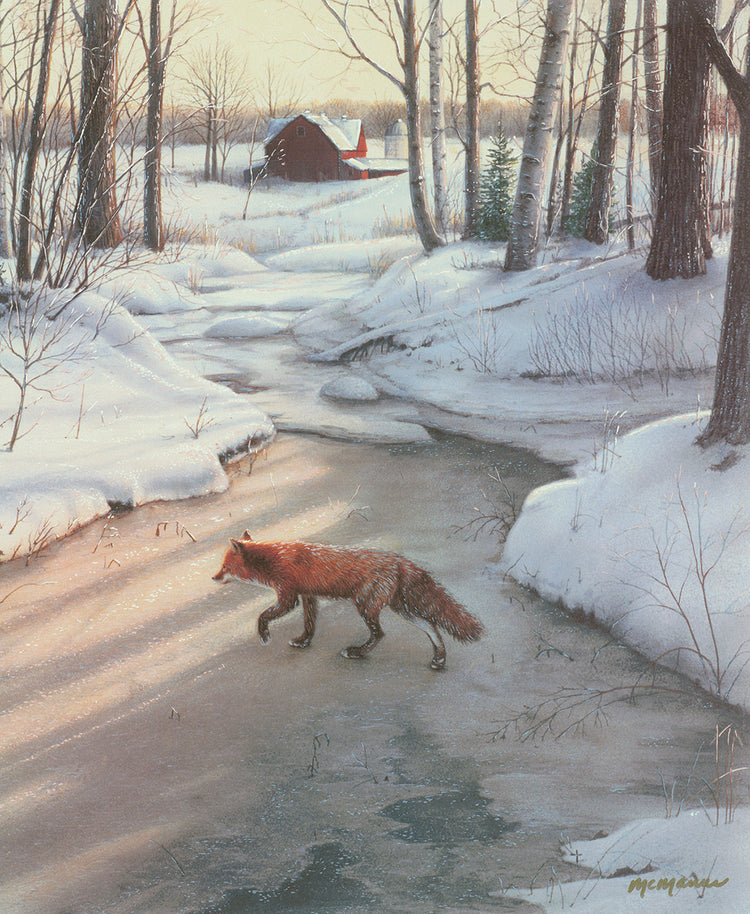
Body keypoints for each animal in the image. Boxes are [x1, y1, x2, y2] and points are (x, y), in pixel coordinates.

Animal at [212, 531, 484, 670]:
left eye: (225, 567)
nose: (213, 577)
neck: (275, 558)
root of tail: (400, 560)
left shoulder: (288, 596)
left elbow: (263, 615)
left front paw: (264, 634)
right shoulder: (308, 595)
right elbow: (310, 624)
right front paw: (303, 642)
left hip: (365, 605)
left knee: (380, 634)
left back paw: (357, 652)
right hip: (401, 608)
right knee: (432, 626)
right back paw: (439, 659)